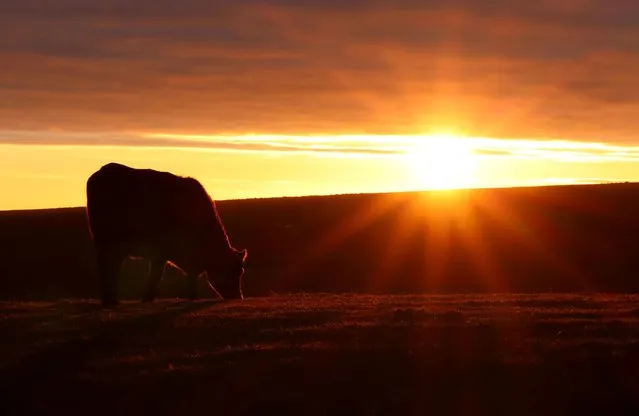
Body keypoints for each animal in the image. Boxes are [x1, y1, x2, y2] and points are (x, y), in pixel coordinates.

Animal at [87, 162, 250, 306]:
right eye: (232, 271)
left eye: (241, 271)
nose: (238, 297)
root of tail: (100, 172)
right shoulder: (160, 252)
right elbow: (157, 275)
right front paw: (148, 299)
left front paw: (193, 297)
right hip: (107, 242)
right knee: (108, 267)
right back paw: (110, 301)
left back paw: (111, 300)